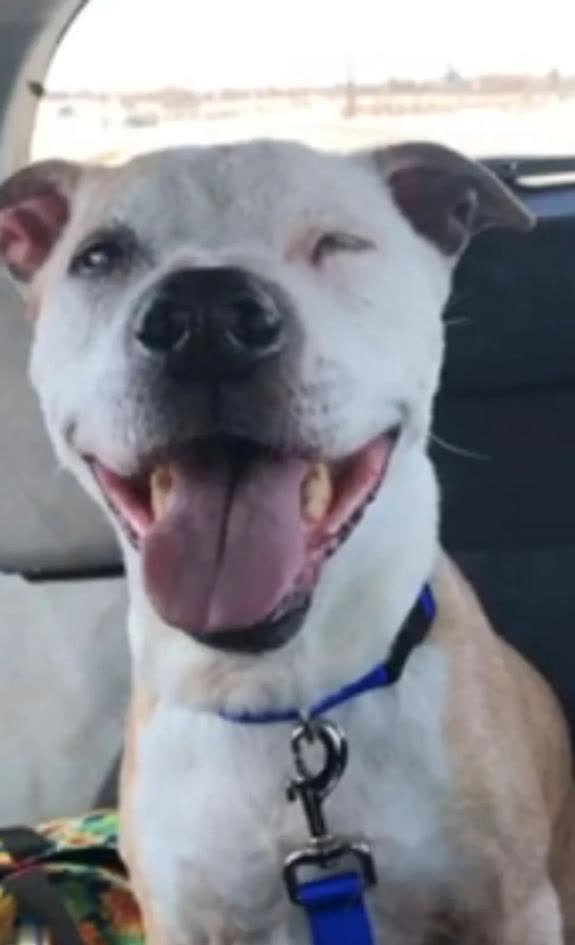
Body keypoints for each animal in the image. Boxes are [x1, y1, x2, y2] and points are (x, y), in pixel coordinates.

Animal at [1, 139, 574, 944]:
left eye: (338, 243)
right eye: (99, 256)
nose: (204, 317)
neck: (288, 705)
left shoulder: (512, 905)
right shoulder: (181, 919)